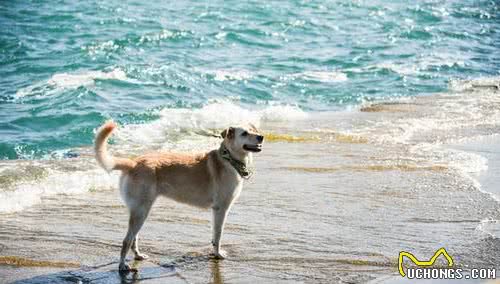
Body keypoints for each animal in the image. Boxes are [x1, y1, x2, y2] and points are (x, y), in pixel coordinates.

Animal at [94, 121, 266, 272]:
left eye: (254, 130)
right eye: (244, 133)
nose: (261, 137)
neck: (229, 159)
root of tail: (133, 163)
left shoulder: (216, 211)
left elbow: (214, 235)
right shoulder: (221, 209)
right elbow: (218, 235)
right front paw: (217, 254)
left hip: (140, 211)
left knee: (134, 238)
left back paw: (138, 256)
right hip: (141, 211)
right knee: (126, 241)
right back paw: (122, 265)